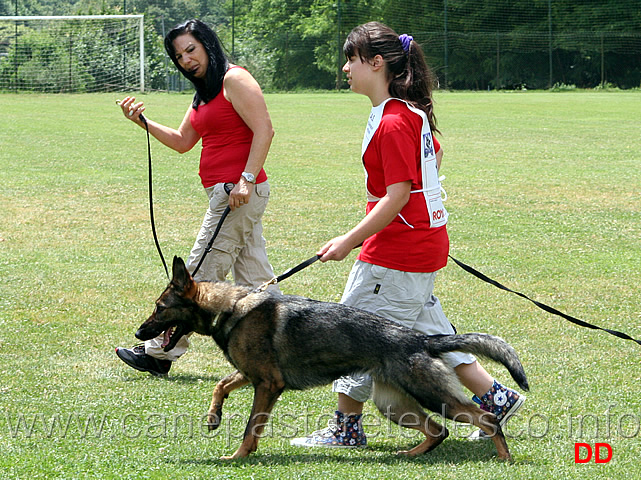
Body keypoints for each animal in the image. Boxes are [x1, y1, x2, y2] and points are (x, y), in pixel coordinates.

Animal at [134, 258, 524, 462]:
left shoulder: (267, 384)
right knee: (438, 430)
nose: (139, 333)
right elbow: (220, 384)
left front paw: (238, 457)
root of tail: (420, 339)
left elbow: (250, 428)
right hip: (395, 405)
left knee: (486, 417)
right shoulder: (253, 375)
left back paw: (504, 458)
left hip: (431, 395)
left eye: (159, 308)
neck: (230, 308)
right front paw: (214, 417)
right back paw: (410, 455)